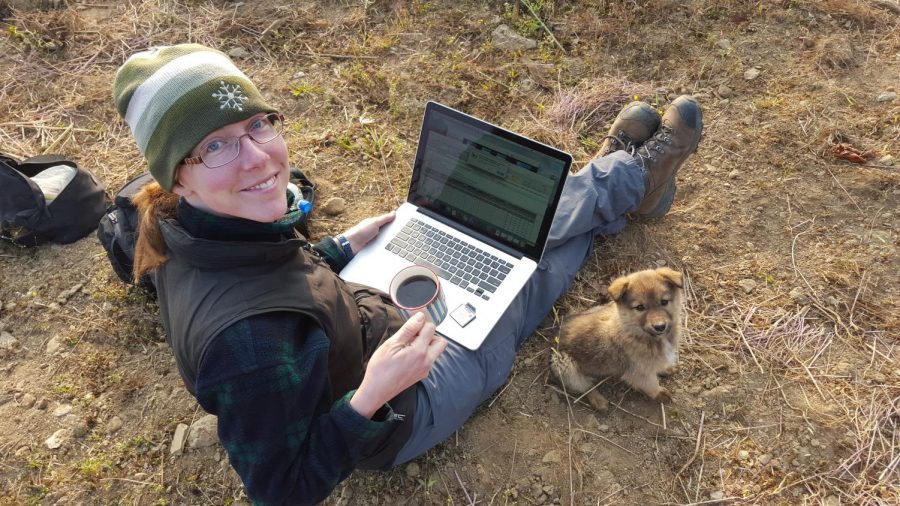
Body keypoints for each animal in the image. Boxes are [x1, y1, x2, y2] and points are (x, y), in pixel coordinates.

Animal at [548, 266, 684, 414]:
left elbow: (659, 365)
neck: (635, 331)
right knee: (586, 387)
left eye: (664, 302)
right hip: (564, 365)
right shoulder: (639, 372)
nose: (660, 326)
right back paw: (598, 401)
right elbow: (651, 384)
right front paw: (659, 393)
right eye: (640, 307)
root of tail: (556, 335)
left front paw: (666, 368)